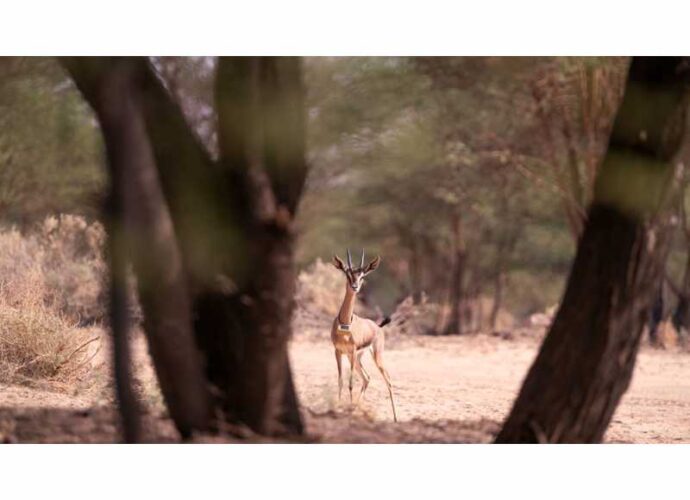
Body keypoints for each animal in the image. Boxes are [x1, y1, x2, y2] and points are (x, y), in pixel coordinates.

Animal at [331, 249, 397, 422]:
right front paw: (337, 407)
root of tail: (378, 327)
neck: (345, 325)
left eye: (362, 276)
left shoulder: (352, 350)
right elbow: (340, 382)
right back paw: (354, 409)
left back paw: (395, 418)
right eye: (347, 274)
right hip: (355, 358)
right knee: (367, 378)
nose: (355, 286)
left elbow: (350, 384)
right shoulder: (338, 351)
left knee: (388, 380)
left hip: (373, 356)